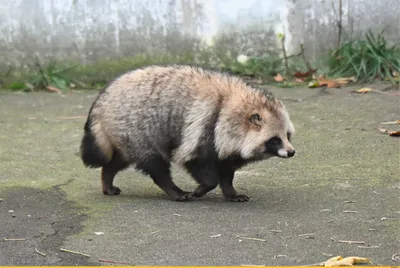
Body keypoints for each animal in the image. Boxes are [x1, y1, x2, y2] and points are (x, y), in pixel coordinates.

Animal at [79, 65, 296, 203]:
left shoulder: (224, 142)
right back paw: (172, 189)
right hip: (136, 127)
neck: (230, 105)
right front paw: (203, 188)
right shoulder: (204, 127)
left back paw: (107, 176)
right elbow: (199, 164)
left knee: (120, 159)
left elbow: (226, 168)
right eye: (275, 140)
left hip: (125, 134)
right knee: (154, 162)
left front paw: (230, 191)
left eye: (287, 135)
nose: (292, 152)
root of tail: (103, 97)